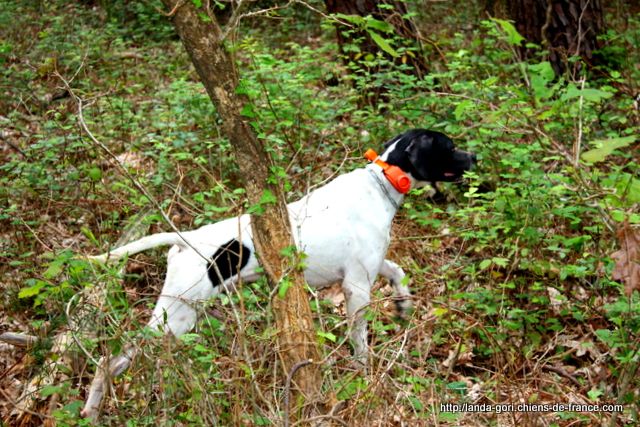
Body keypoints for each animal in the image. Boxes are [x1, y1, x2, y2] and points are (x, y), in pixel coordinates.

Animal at [81, 131, 476, 418]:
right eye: (449, 146)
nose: (474, 157)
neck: (381, 184)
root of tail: (183, 239)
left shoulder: (372, 264)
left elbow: (399, 271)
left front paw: (402, 303)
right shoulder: (357, 287)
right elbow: (360, 343)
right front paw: (365, 376)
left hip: (176, 316)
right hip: (176, 317)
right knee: (109, 360)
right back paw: (94, 407)